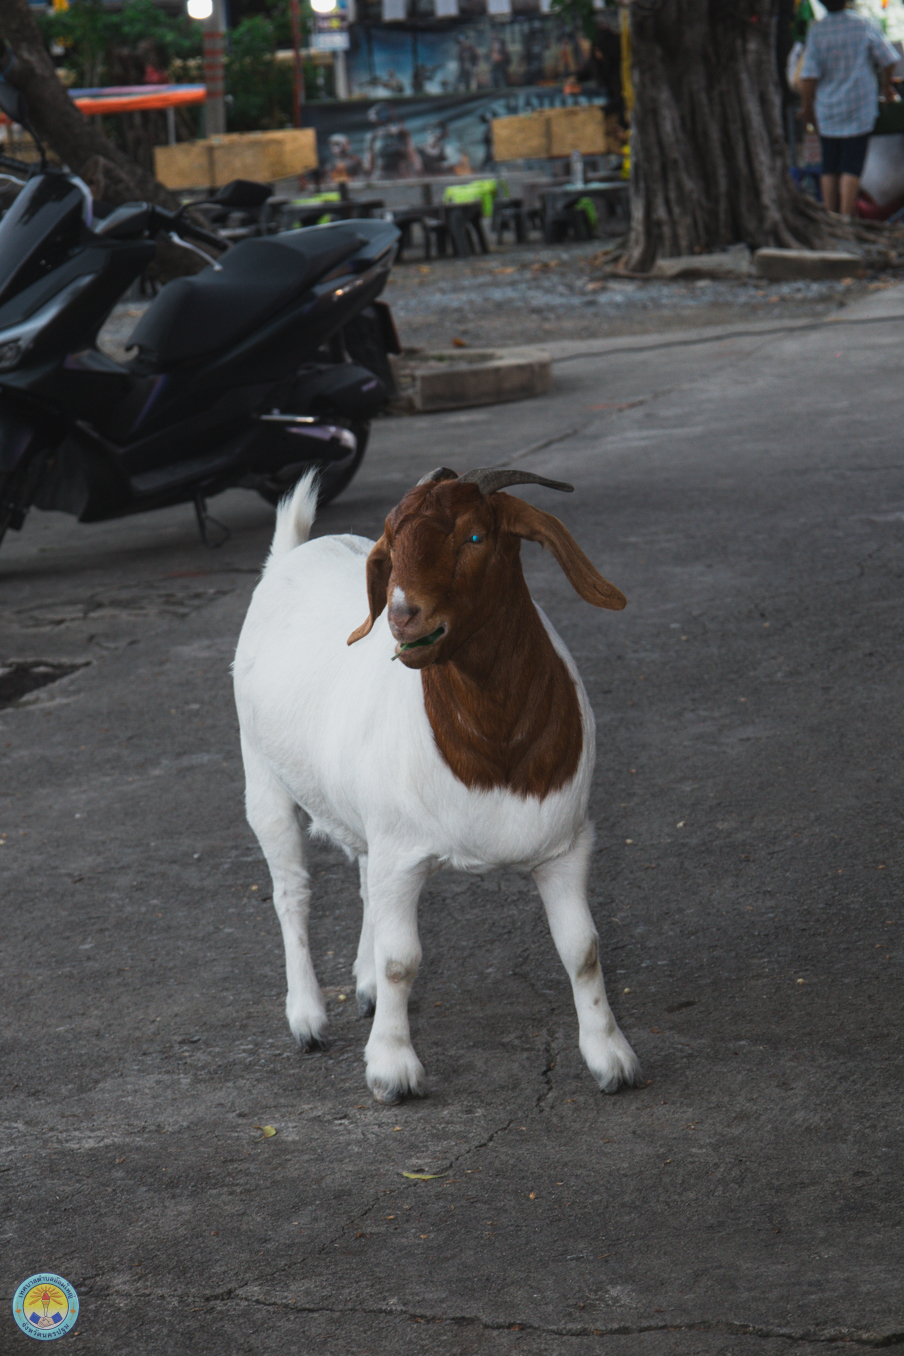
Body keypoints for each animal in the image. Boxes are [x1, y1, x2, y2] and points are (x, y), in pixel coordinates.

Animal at [232, 464, 643, 1105]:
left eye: (475, 537)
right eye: (392, 548)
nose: (402, 616)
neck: (495, 748)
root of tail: (290, 555)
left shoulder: (566, 845)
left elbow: (582, 948)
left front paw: (611, 1056)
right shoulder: (403, 854)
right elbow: (402, 959)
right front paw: (392, 1068)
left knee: (363, 885)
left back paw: (363, 987)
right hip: (264, 780)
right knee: (291, 893)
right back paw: (307, 1017)